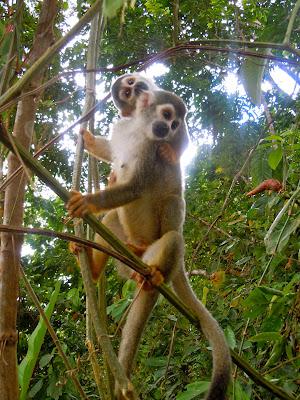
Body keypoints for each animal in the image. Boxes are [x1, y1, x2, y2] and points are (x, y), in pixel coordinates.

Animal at [68, 88, 231, 400]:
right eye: (167, 116)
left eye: (174, 124)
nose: (167, 129)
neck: (138, 132)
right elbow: (112, 154)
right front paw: (88, 138)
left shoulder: (153, 152)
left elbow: (135, 187)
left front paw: (88, 202)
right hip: (124, 249)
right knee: (112, 218)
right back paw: (93, 269)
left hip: (156, 250)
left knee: (173, 230)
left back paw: (155, 277)